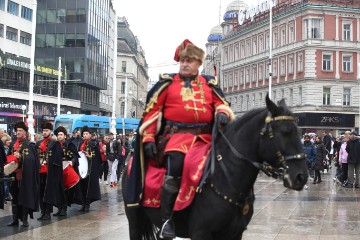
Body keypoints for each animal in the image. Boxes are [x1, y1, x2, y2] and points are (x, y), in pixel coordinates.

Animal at [122, 96, 308, 240]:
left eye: (299, 132)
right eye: (285, 132)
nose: (301, 177)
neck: (226, 178)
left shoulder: (235, 234)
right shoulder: (201, 233)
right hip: (134, 219)